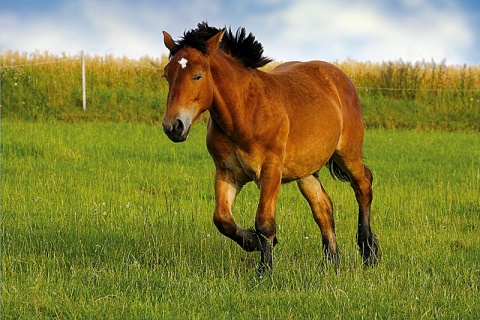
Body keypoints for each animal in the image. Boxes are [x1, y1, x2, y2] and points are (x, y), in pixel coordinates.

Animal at [161, 22, 382, 276]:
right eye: (167, 75)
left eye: (198, 75)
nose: (173, 126)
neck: (245, 113)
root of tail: (340, 78)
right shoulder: (227, 173)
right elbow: (222, 219)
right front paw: (252, 242)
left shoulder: (270, 171)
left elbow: (264, 221)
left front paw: (264, 270)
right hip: (306, 171)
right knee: (323, 208)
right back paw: (331, 262)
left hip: (347, 153)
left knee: (363, 185)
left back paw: (369, 252)